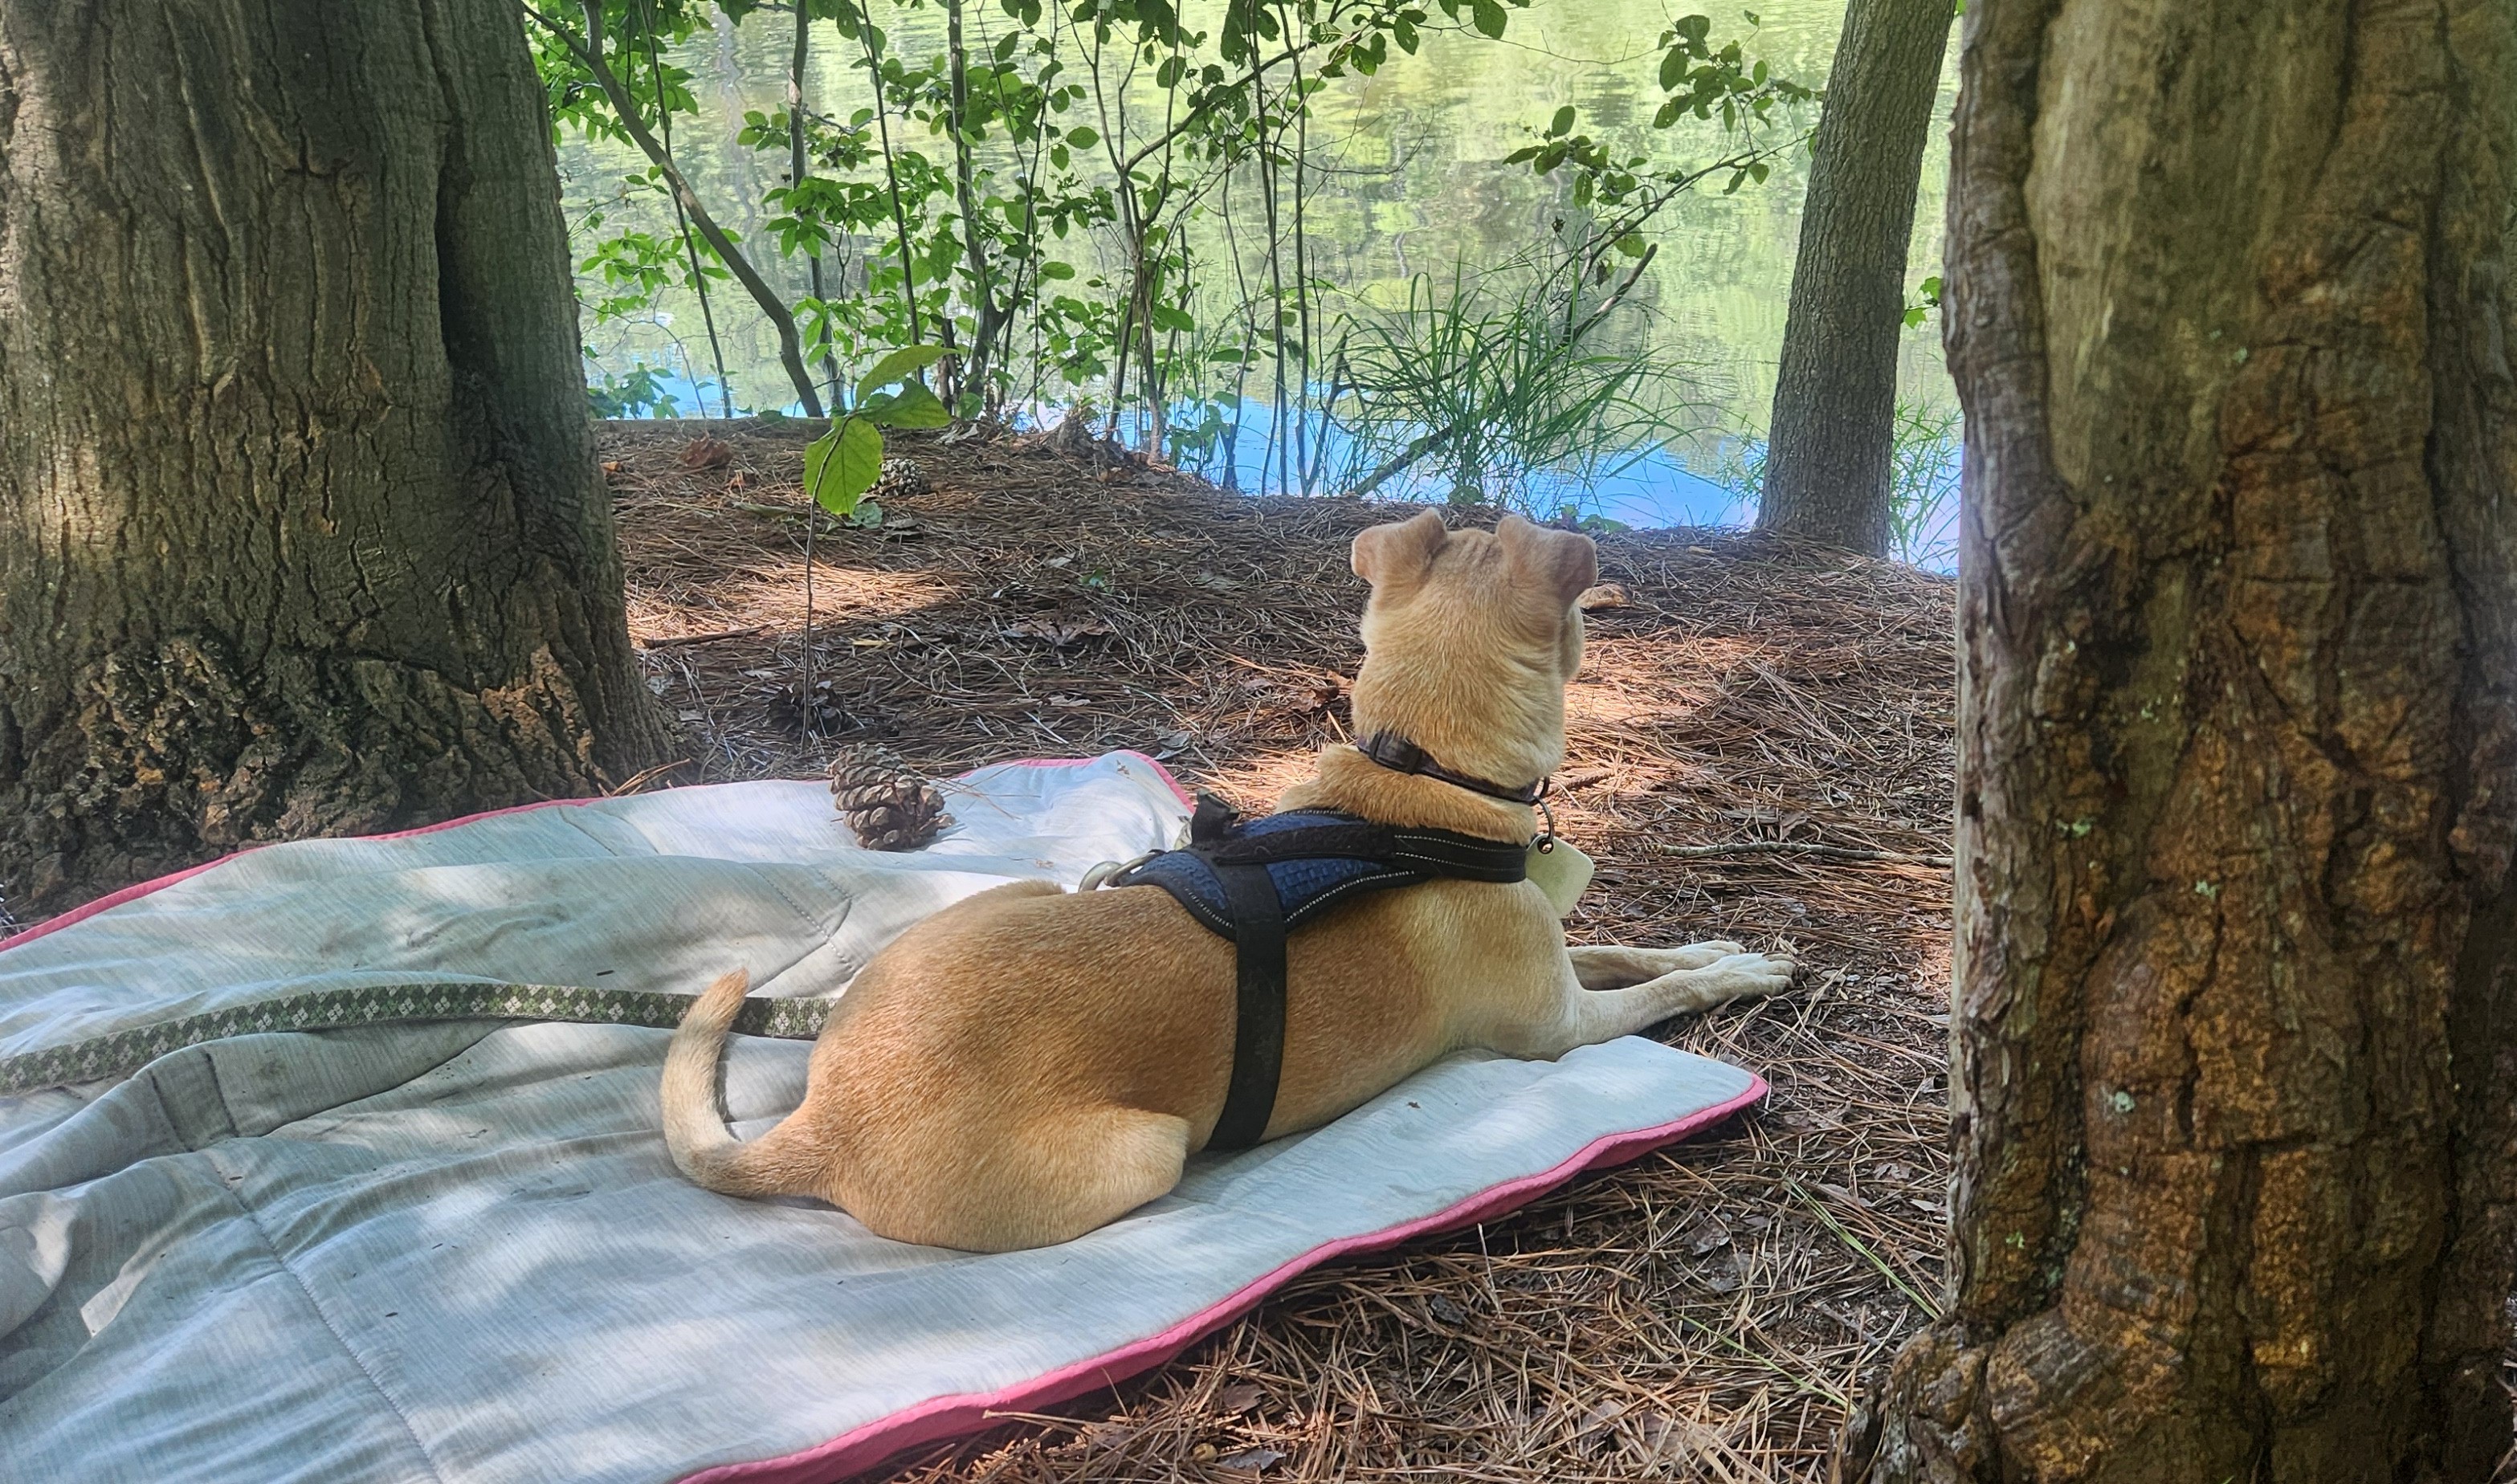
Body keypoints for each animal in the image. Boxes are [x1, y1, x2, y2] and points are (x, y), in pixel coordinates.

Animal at [661, 511, 1795, 1252]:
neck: (1417, 783)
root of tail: (819, 1127)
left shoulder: (1559, 958)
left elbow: (1631, 947)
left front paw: (1712, 944)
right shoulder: (1558, 1030)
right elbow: (1659, 990)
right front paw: (1733, 972)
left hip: (1029, 898)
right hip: (1150, 1148)